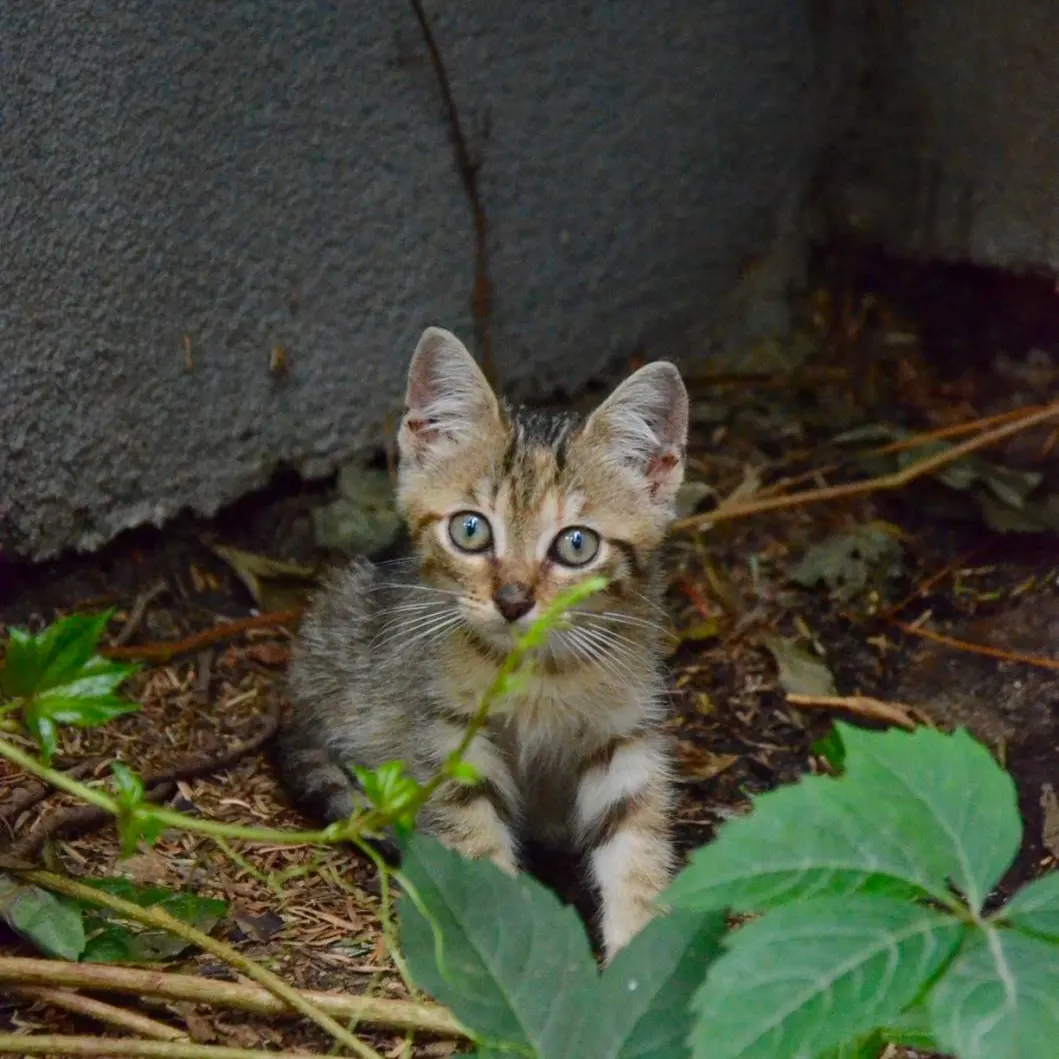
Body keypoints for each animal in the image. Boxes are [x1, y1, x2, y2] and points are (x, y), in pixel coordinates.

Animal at [274, 326, 689, 961]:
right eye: (470, 530)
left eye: (576, 545)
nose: (513, 600)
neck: (539, 672)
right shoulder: (449, 735)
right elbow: (475, 848)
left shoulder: (625, 734)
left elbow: (637, 841)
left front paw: (641, 953)